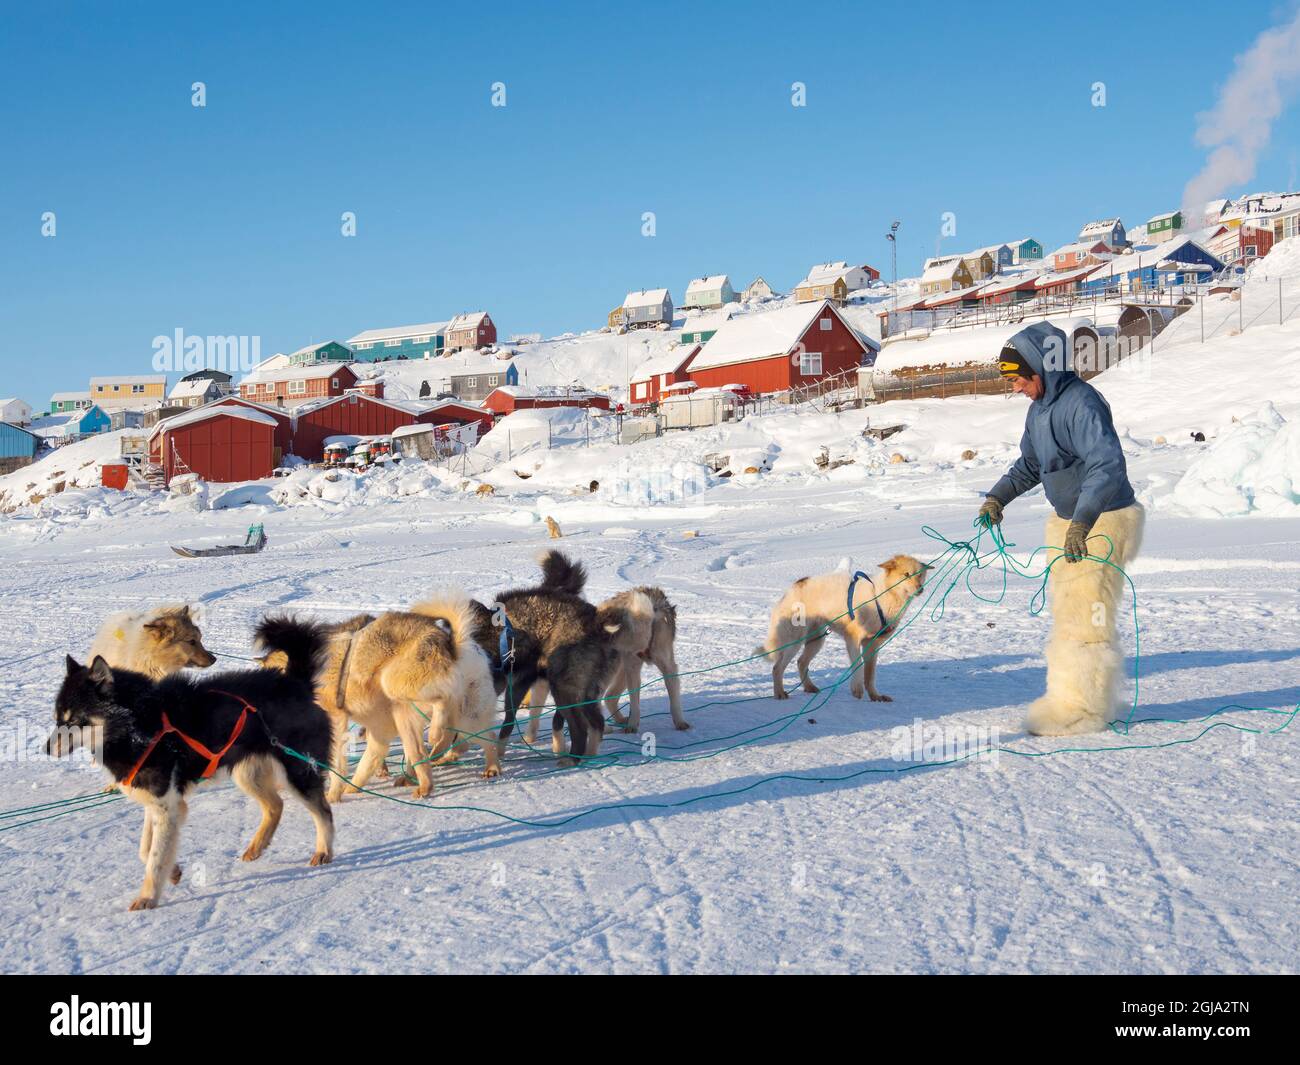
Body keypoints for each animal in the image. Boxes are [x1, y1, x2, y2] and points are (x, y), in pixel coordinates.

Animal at [48, 621, 335, 910]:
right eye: (57, 719)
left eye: (74, 721)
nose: (46, 749)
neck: (139, 724)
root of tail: (296, 683)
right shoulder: (158, 802)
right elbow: (146, 850)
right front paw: (173, 872)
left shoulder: (168, 806)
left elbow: (155, 858)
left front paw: (147, 897)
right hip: (246, 773)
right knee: (275, 805)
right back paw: (257, 846)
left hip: (298, 771)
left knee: (323, 811)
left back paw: (323, 851)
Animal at [759, 559, 930, 707]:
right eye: (906, 574)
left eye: (920, 575)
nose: (921, 589)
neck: (879, 597)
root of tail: (793, 587)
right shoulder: (852, 639)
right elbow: (858, 666)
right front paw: (856, 688)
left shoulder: (872, 645)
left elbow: (870, 675)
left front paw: (875, 696)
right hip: (795, 641)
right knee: (777, 668)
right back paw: (779, 693)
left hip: (816, 641)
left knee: (801, 662)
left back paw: (809, 686)